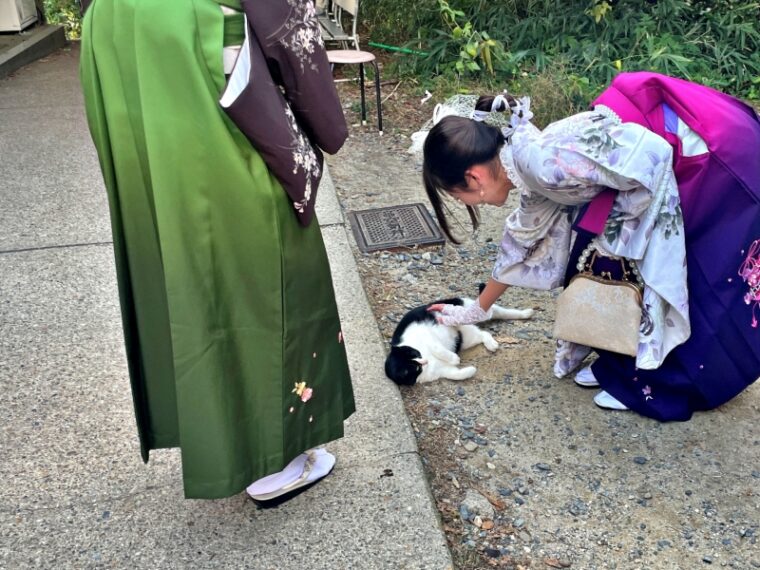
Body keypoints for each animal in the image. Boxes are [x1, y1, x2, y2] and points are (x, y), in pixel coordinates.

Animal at [382, 296, 532, 384]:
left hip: (467, 309)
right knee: (483, 333)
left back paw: (526, 313)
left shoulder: (426, 336)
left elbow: (438, 348)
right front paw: (470, 369)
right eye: (416, 368)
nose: (425, 361)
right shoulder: (443, 372)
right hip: (469, 338)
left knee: (498, 311)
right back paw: (491, 344)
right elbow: (457, 375)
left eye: (416, 354)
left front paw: (454, 358)